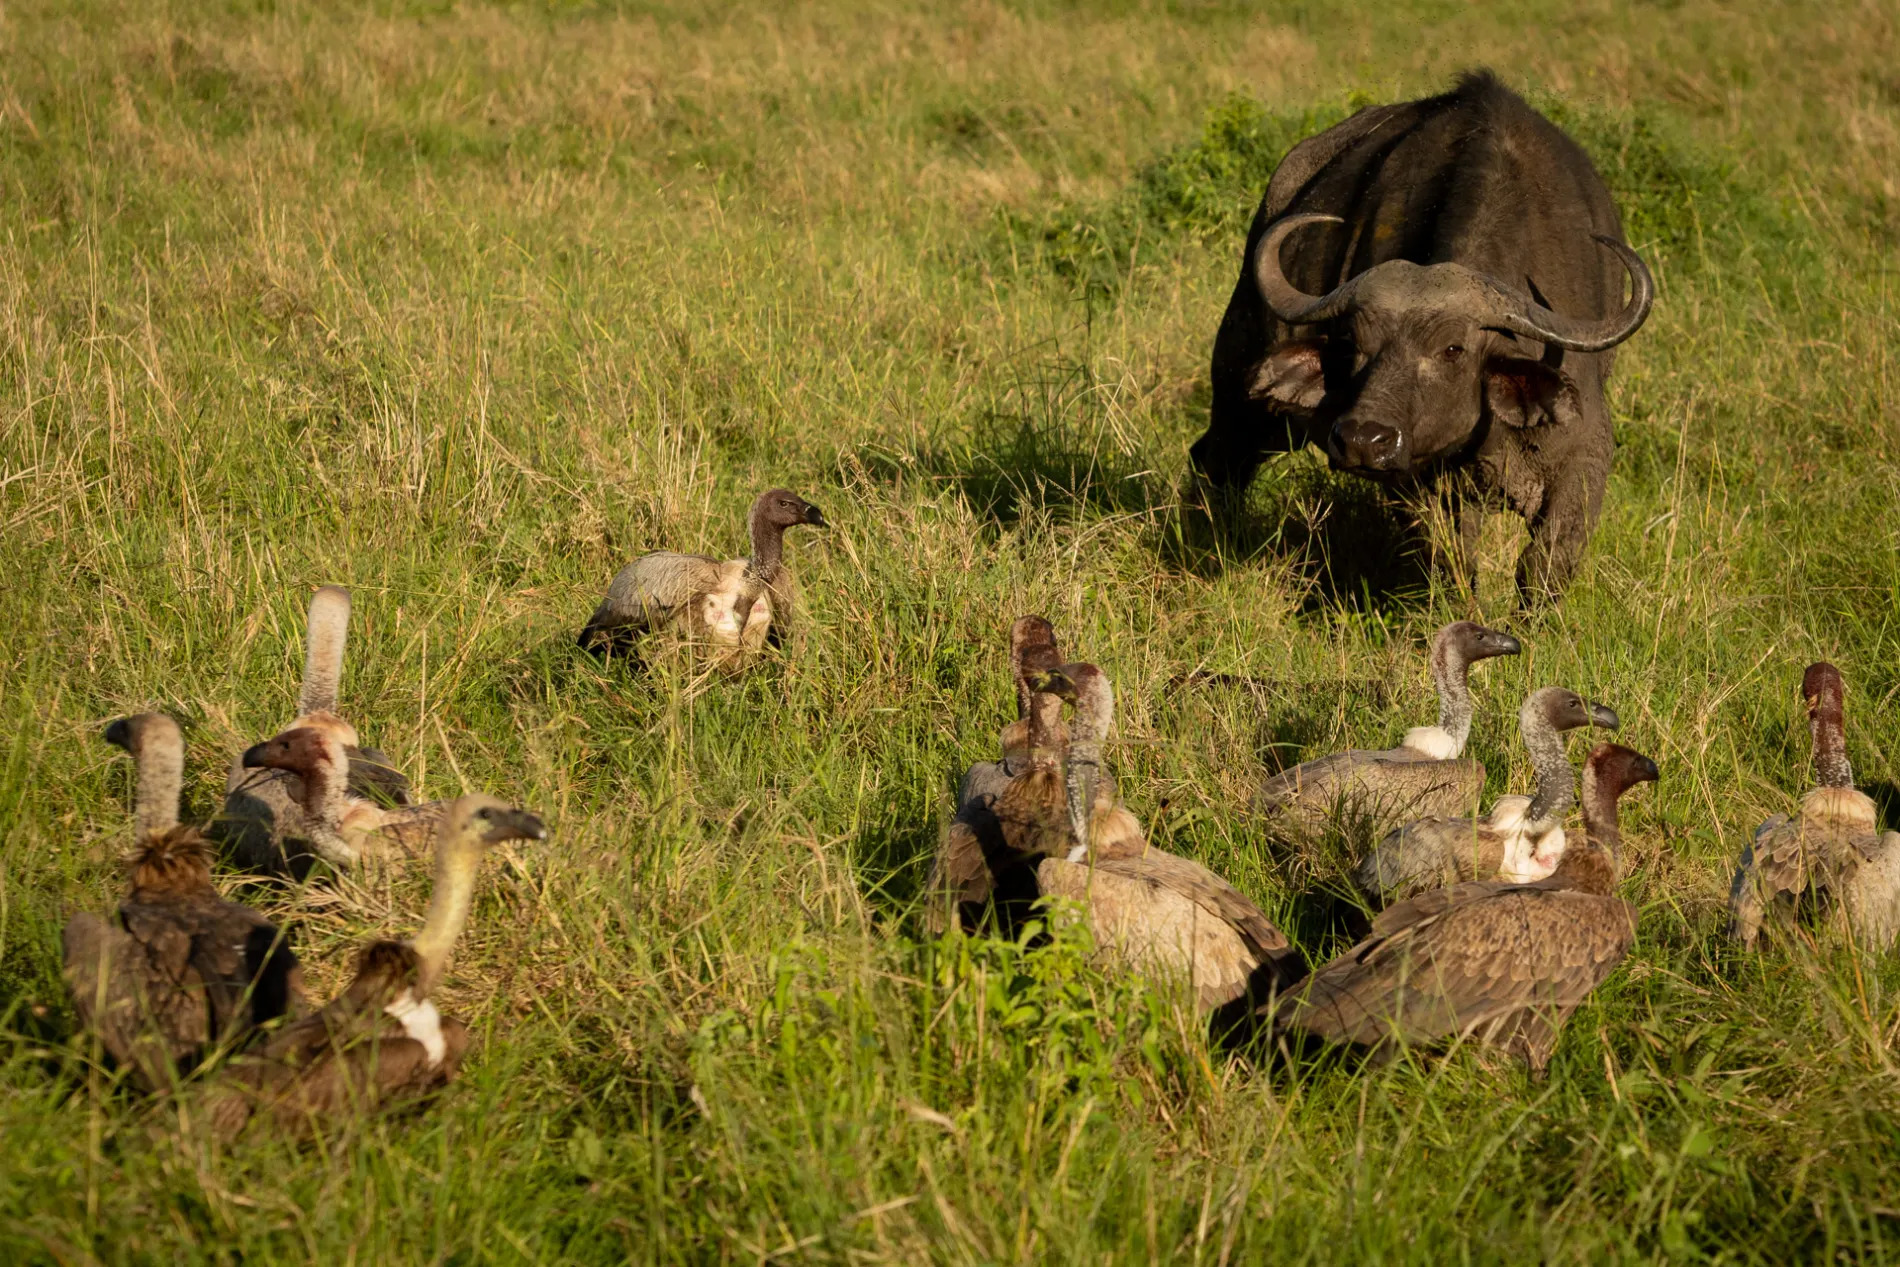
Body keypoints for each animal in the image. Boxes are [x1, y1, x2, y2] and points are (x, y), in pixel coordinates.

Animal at [1193, 71, 1656, 607]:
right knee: (1218, 459)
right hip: (1244, 382)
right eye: (1353, 345)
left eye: (1452, 349)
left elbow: (1543, 566)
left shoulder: (1583, 456)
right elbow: (1452, 566)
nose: (1363, 440)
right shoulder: (1417, 484)